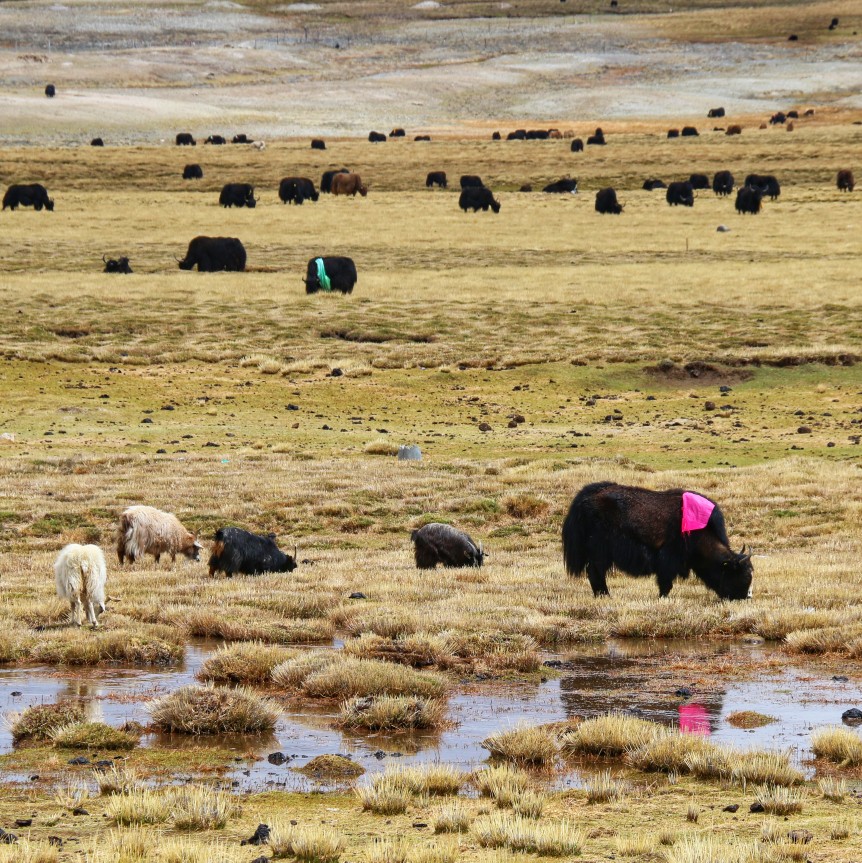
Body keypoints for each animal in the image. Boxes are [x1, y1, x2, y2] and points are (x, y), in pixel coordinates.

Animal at [564, 480, 752, 600]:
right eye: (742, 574)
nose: (745, 597)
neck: (700, 534)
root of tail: (586, 496)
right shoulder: (669, 558)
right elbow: (666, 581)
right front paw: (663, 597)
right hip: (600, 549)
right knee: (595, 571)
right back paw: (605, 596)